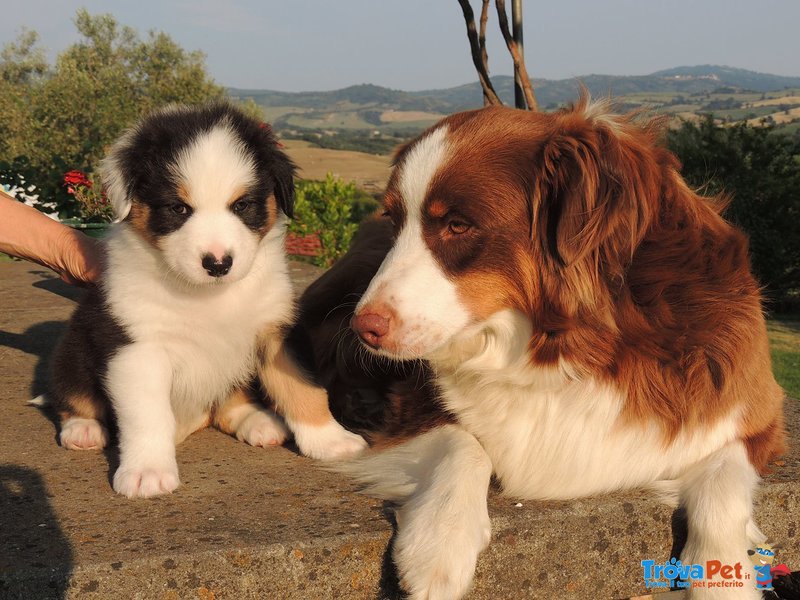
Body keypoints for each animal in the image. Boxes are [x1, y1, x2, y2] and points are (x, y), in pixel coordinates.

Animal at [47, 103, 366, 496]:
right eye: (178, 209)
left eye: (242, 205)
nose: (218, 263)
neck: (207, 295)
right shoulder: (136, 347)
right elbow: (147, 413)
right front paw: (147, 471)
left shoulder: (277, 328)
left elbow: (302, 386)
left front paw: (332, 440)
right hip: (72, 349)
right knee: (71, 394)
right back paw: (84, 429)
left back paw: (257, 421)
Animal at [298, 96, 788, 596]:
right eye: (397, 223)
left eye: (457, 225)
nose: (363, 329)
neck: (568, 345)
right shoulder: (412, 398)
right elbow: (461, 442)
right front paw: (438, 545)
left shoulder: (752, 408)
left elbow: (724, 482)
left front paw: (724, 575)